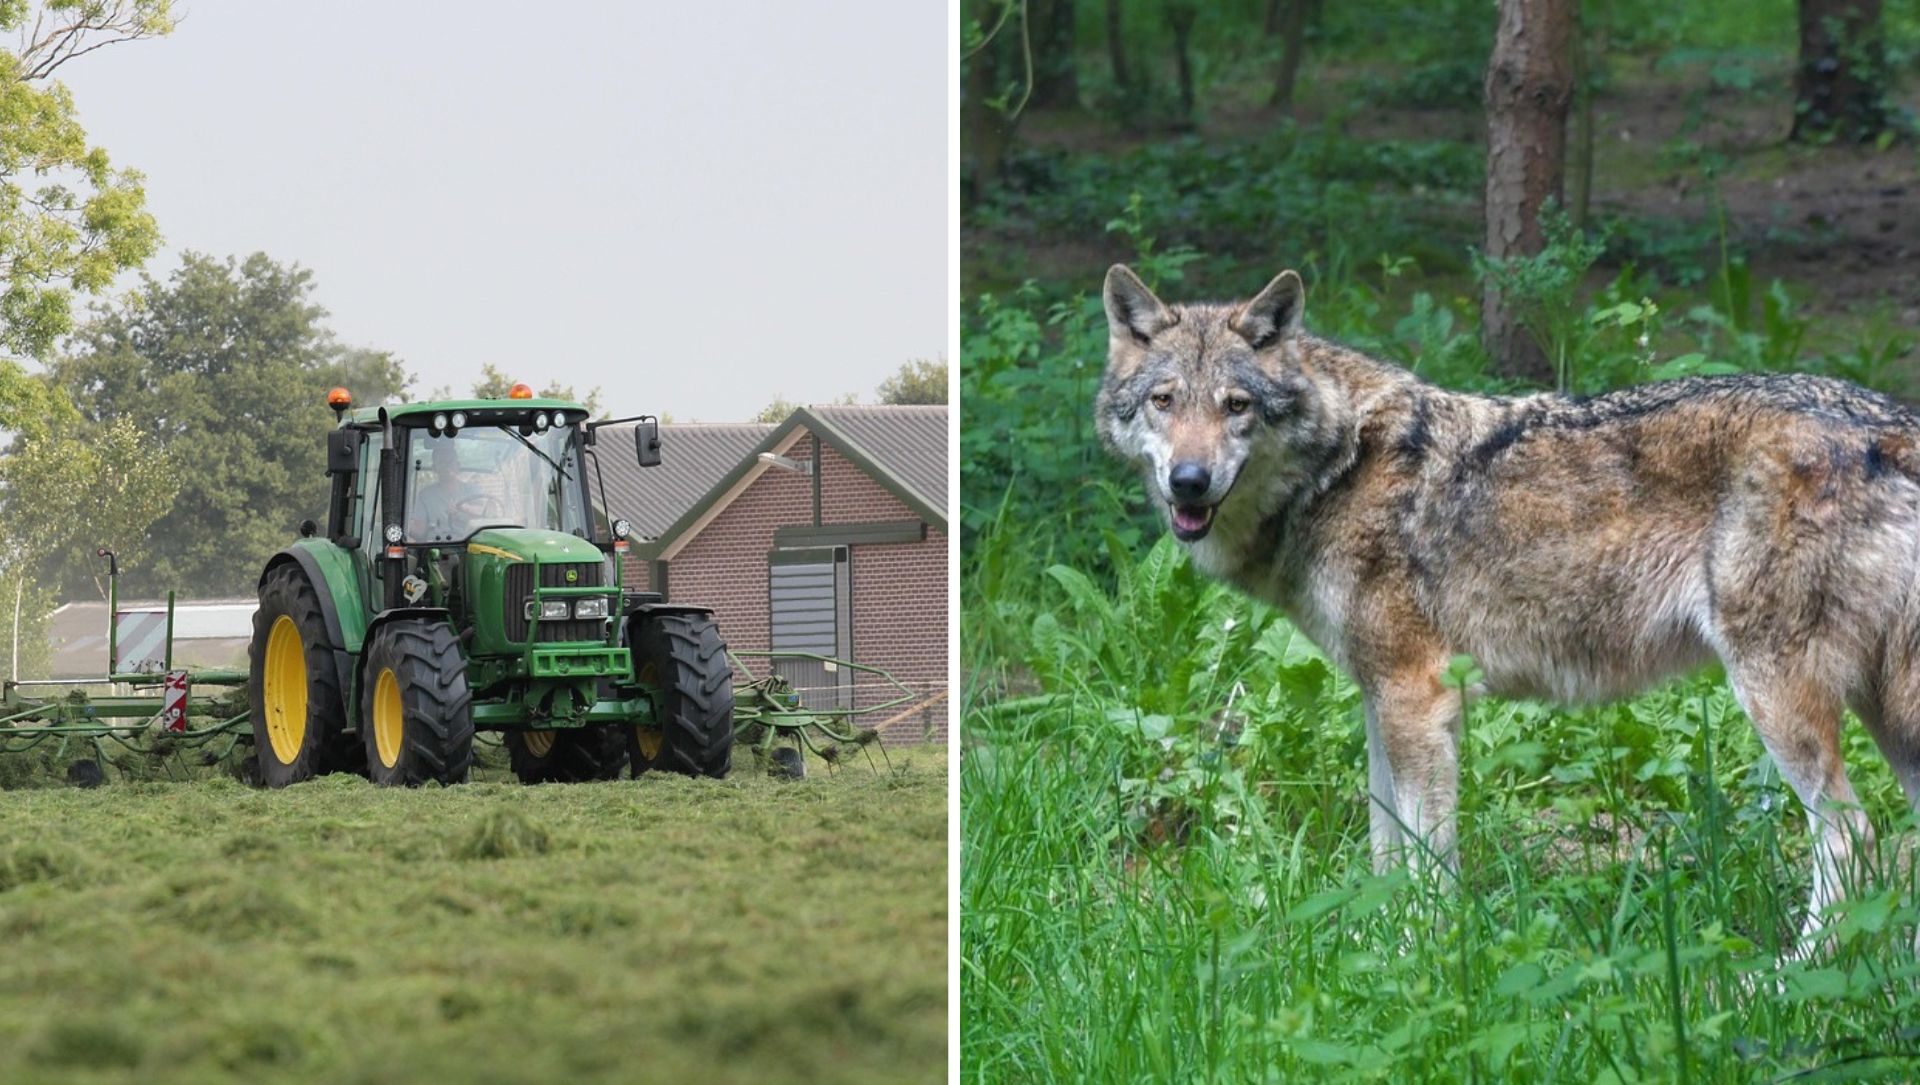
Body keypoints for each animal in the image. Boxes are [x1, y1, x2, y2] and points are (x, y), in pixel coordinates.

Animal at [1097, 264, 1920, 946]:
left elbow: (1427, 860)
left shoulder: (1418, 696)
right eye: (1164, 402)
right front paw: (1368, 951)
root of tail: (1894, 422)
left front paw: (1418, 957)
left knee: (1854, 841)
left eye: (1235, 405)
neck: (1339, 466)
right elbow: (1384, 847)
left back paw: (1781, 980)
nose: (1189, 481)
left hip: (1777, 697)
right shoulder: (1380, 696)